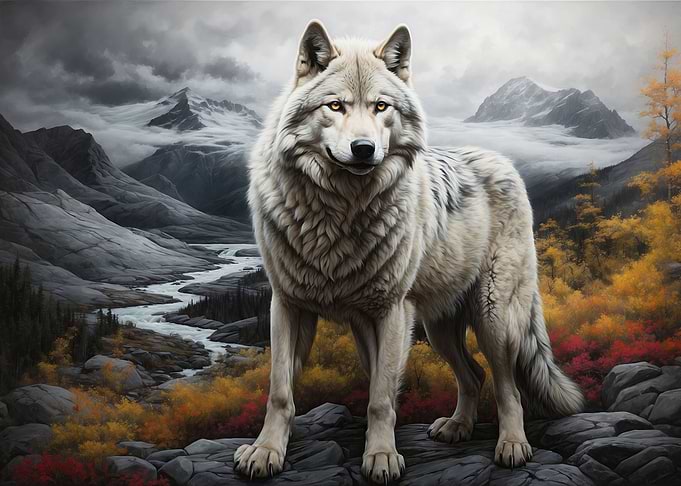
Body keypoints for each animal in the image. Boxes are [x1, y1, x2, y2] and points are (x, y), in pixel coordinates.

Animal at [235, 20, 584, 484]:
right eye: (336, 106)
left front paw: (381, 457)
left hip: (493, 318)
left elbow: (381, 397)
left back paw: (512, 445)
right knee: (473, 374)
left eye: (381, 106)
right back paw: (457, 427)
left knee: (507, 385)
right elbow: (280, 391)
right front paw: (266, 451)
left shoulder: (391, 311)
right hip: (435, 329)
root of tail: (504, 162)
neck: (338, 213)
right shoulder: (288, 304)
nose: (364, 149)